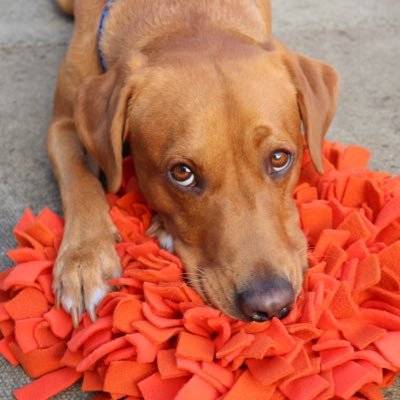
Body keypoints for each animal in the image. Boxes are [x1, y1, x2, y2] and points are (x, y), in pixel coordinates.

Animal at [49, 0, 338, 326]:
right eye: (182, 173)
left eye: (279, 158)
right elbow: (80, 181)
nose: (271, 304)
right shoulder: (62, 125)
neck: (186, 14)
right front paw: (85, 257)